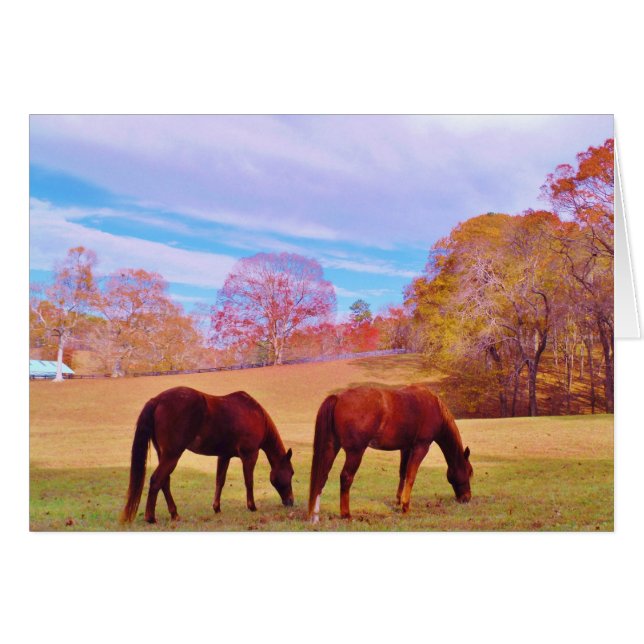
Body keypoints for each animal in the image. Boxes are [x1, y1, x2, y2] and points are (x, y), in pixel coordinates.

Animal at [120, 386, 294, 523]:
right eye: (291, 472)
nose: (291, 502)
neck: (256, 414)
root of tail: (157, 400)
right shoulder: (250, 455)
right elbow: (249, 481)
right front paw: (252, 506)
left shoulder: (224, 456)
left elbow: (220, 481)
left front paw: (217, 508)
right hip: (172, 455)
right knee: (157, 480)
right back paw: (150, 517)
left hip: (163, 455)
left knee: (164, 482)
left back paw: (175, 514)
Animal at [308, 384, 473, 523]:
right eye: (470, 472)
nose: (466, 498)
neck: (433, 406)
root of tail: (338, 397)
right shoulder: (421, 447)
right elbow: (411, 476)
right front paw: (405, 507)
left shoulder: (405, 448)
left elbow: (403, 473)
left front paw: (399, 501)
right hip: (355, 452)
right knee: (346, 477)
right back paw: (346, 514)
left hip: (331, 447)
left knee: (322, 475)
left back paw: (315, 515)